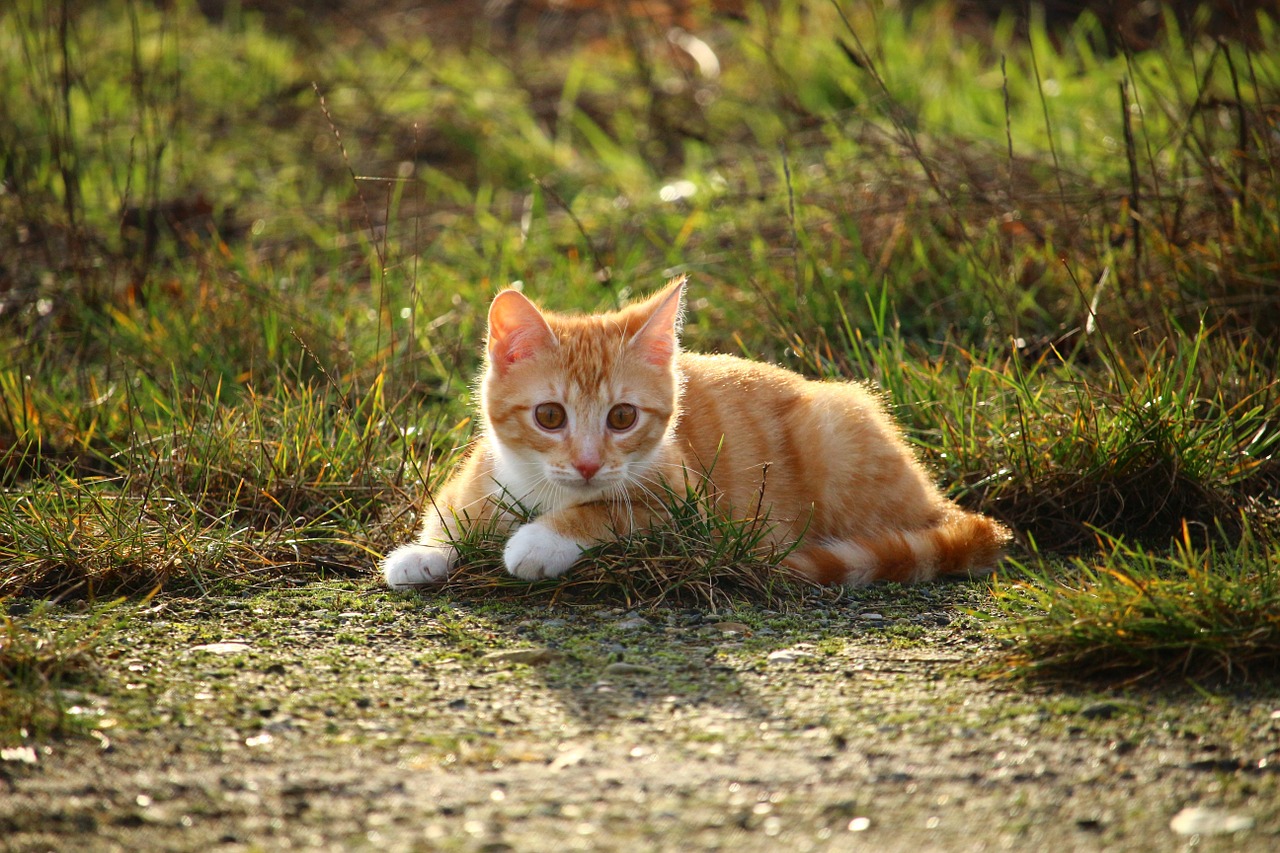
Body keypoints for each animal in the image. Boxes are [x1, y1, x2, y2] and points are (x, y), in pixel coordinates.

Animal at [378, 277, 1008, 584]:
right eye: (549, 416)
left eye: (622, 417)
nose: (587, 463)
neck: (543, 490)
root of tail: (936, 497)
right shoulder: (480, 473)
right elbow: (453, 511)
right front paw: (426, 552)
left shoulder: (689, 513)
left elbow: (609, 511)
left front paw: (541, 540)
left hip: (835, 433)